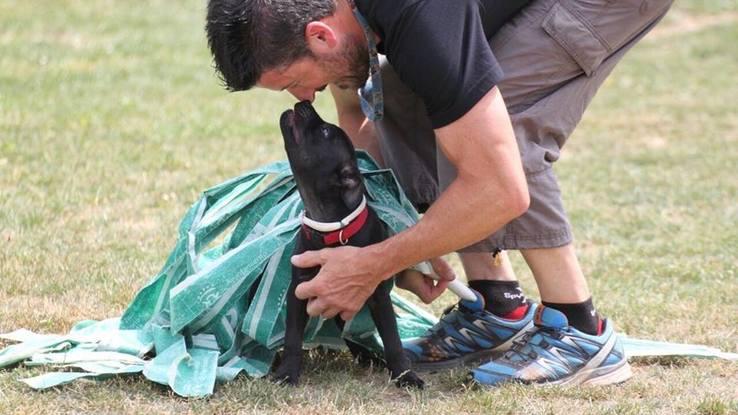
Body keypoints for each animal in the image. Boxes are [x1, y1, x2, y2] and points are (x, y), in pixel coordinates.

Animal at [270, 101, 422, 390]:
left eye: (326, 132)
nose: (304, 103)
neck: (330, 231)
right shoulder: (299, 289)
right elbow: (293, 337)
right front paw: (287, 372)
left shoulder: (377, 295)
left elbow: (393, 339)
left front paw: (405, 375)